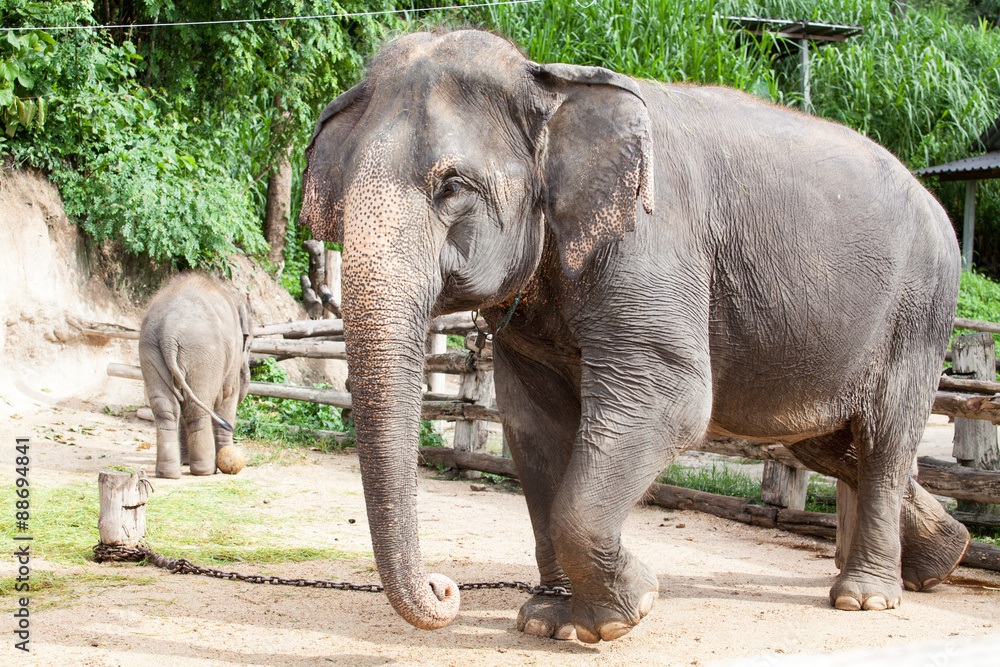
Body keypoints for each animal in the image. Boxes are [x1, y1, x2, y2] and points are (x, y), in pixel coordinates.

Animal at [139, 274, 253, 479]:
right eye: (248, 347)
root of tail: (168, 333)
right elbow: (228, 397)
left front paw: (185, 461)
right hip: (203, 355)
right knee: (195, 408)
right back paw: (205, 470)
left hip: (149, 350)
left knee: (166, 408)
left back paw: (167, 473)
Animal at [300, 29, 968, 643]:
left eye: (452, 187)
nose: (447, 588)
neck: (551, 84)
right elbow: (532, 422)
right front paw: (547, 621)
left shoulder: (650, 246)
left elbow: (671, 399)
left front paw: (624, 614)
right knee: (829, 444)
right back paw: (942, 559)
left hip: (919, 313)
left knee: (884, 437)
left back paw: (865, 598)